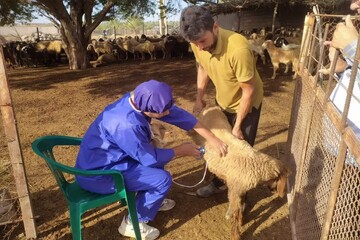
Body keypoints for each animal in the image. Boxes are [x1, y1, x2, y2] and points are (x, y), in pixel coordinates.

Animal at [193, 106, 292, 240]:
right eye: (281, 179)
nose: (272, 190)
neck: (255, 165)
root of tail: (211, 107)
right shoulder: (235, 190)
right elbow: (236, 211)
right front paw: (236, 234)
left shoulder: (241, 190)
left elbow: (240, 208)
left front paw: (241, 221)